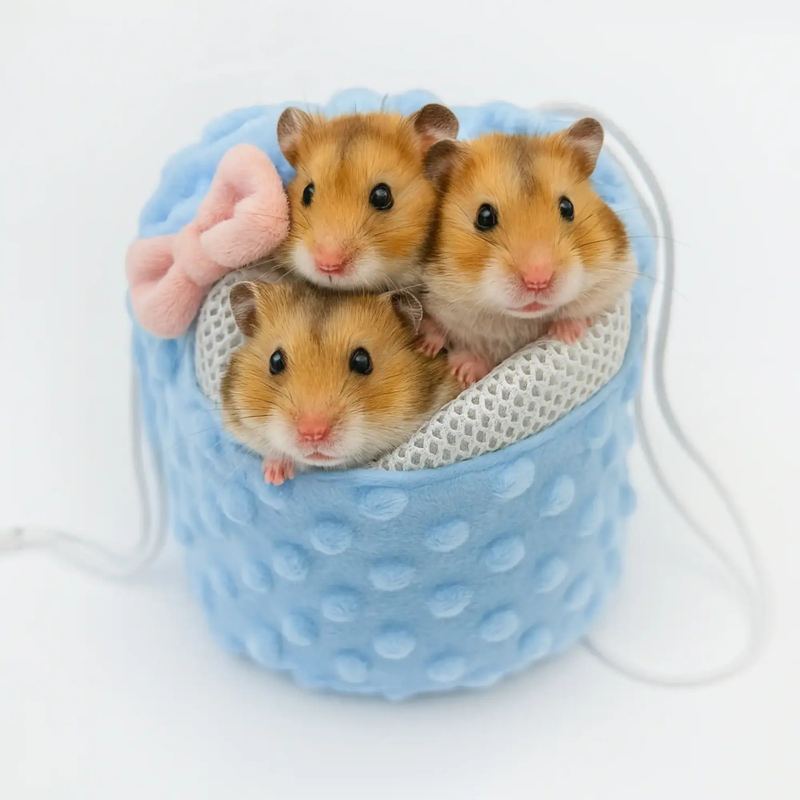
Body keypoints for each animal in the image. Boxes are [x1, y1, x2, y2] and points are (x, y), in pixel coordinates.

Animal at [418, 118, 636, 387]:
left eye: (567, 207)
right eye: (484, 216)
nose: (538, 281)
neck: (521, 321)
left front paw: (567, 334)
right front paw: (461, 370)